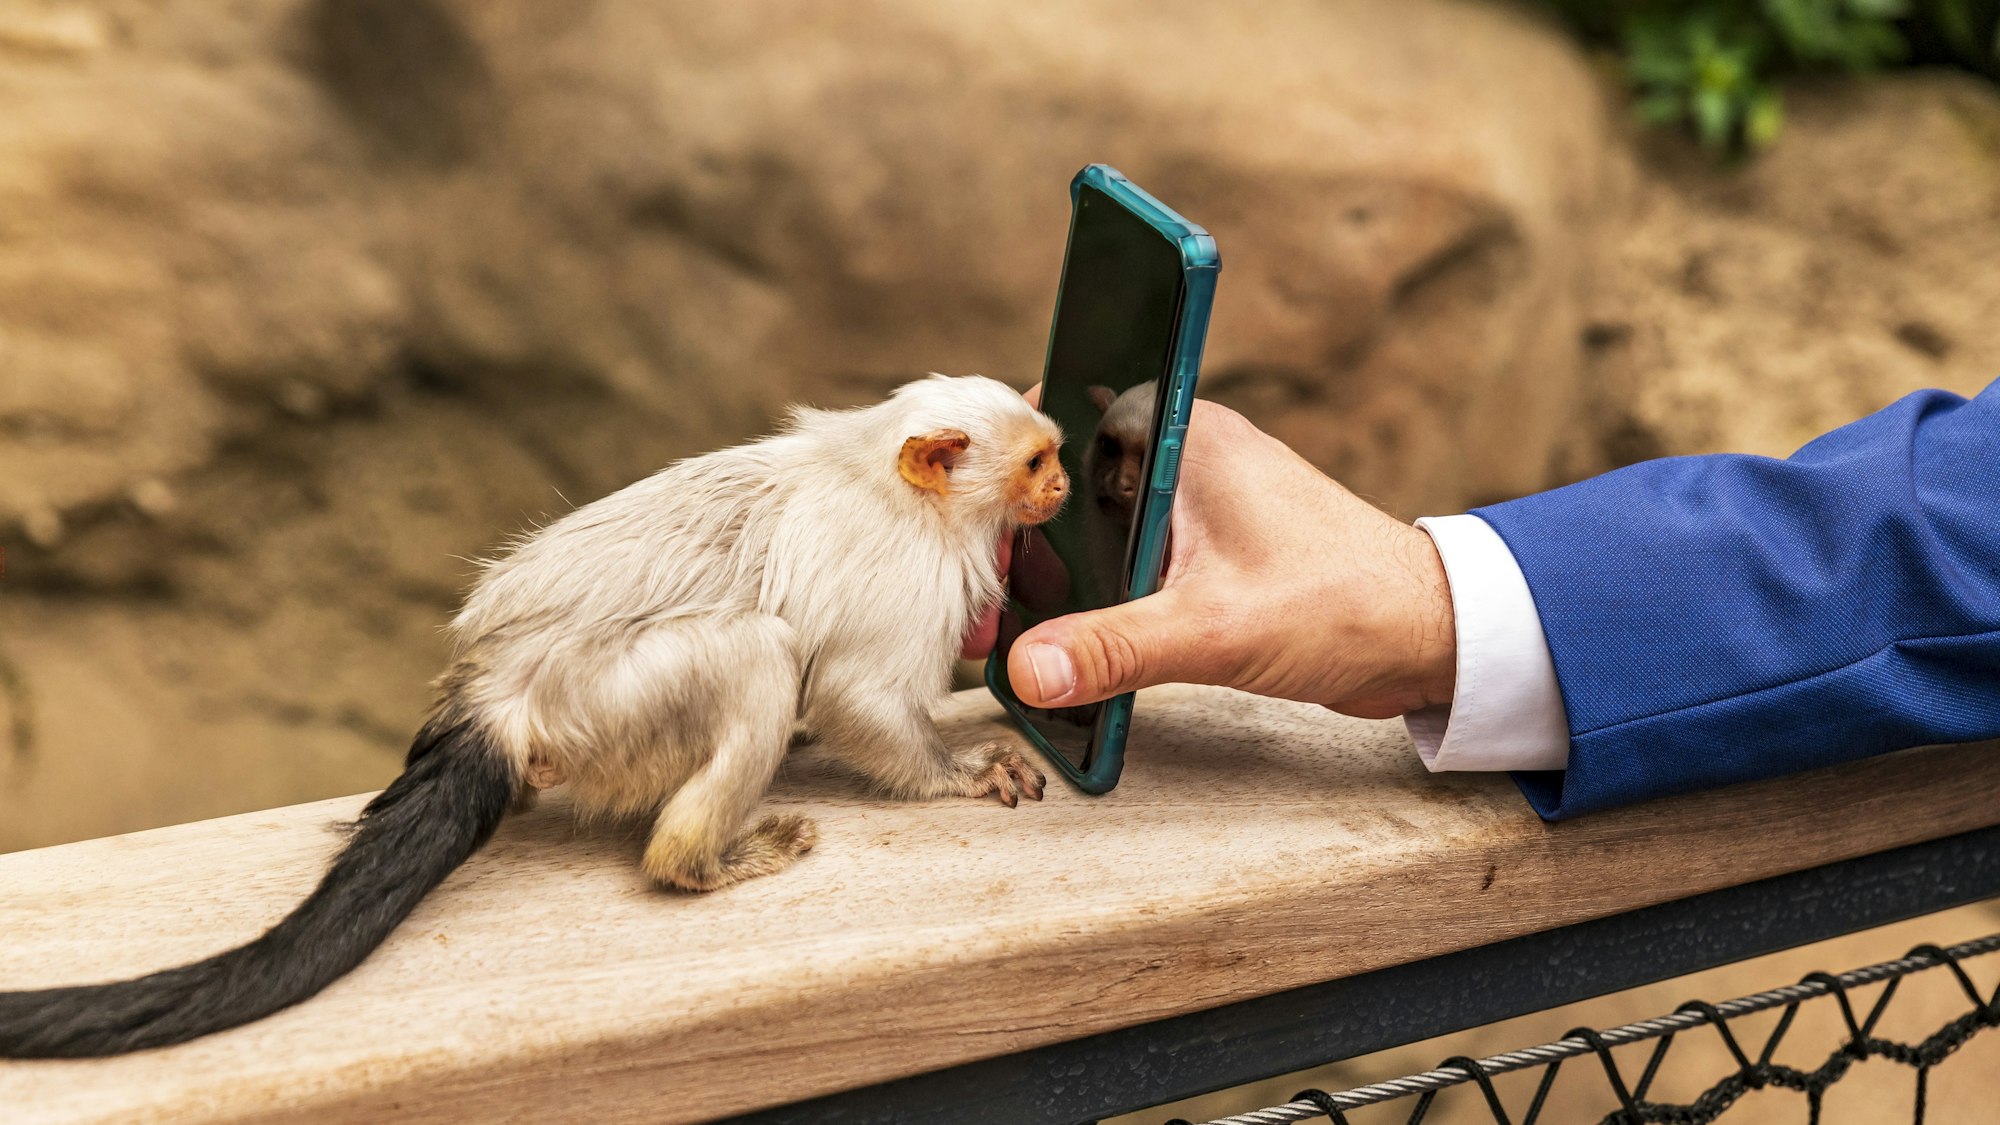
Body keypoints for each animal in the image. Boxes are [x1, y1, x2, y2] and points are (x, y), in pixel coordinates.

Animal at [0, 374, 1068, 1058]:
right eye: (1034, 463)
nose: (1063, 485)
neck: (886, 481)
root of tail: (500, 695)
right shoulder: (907, 576)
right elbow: (856, 694)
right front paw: (964, 770)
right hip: (611, 704)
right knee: (759, 657)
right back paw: (700, 862)